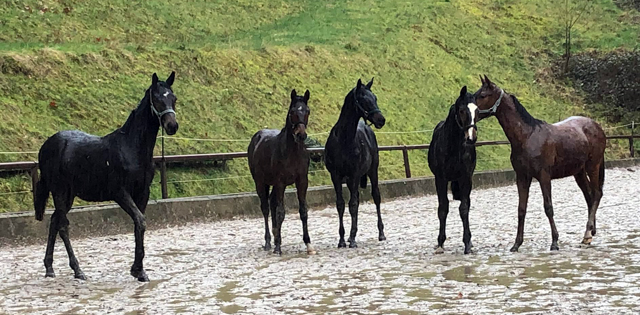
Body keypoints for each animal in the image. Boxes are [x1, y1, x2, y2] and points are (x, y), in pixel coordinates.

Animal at [34, 73, 179, 282]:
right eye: (157, 98)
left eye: (174, 98)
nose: (172, 126)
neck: (131, 148)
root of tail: (47, 145)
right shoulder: (120, 193)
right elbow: (140, 221)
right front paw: (138, 270)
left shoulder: (142, 193)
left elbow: (139, 224)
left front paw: (139, 270)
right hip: (59, 192)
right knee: (62, 226)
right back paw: (78, 270)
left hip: (68, 195)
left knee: (54, 222)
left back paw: (49, 268)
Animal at [248, 89, 316, 256]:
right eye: (292, 111)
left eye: (307, 111)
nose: (301, 135)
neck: (292, 151)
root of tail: (257, 137)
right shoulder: (280, 182)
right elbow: (280, 212)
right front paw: (278, 246)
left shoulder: (302, 181)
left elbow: (303, 211)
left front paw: (308, 244)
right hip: (261, 183)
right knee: (266, 208)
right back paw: (268, 242)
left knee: (271, 204)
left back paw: (275, 235)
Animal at [324, 78, 384, 248]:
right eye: (364, 100)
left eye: (375, 98)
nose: (381, 120)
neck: (344, 140)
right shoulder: (336, 176)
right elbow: (340, 204)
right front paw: (342, 239)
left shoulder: (355, 174)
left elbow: (353, 204)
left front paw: (352, 238)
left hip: (372, 171)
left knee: (376, 196)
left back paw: (381, 233)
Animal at [428, 85, 478, 256]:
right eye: (462, 110)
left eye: (477, 110)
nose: (471, 138)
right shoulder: (440, 179)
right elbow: (443, 208)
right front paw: (440, 242)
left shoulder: (465, 177)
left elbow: (464, 208)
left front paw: (467, 243)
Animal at [472, 75, 608, 253]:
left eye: (482, 95)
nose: (464, 113)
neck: (527, 136)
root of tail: (597, 126)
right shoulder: (522, 177)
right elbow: (521, 210)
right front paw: (516, 244)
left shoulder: (544, 176)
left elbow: (548, 207)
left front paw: (555, 242)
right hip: (579, 172)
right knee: (589, 197)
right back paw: (590, 232)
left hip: (593, 165)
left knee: (597, 194)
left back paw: (587, 235)